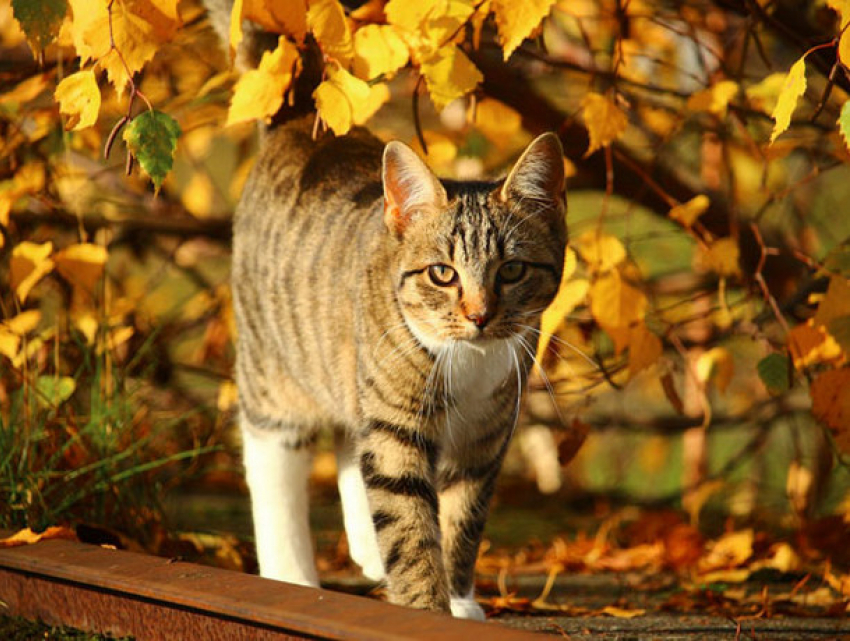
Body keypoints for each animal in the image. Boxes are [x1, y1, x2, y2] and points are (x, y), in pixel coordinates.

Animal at [211, 2, 568, 620]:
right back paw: (291, 573)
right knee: (273, 460)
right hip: (275, 371)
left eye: (512, 271)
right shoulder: (398, 419)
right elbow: (408, 523)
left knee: (353, 444)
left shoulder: (486, 437)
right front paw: (426, 608)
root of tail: (300, 127)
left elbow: (461, 520)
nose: (479, 315)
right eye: (443, 274)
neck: (468, 363)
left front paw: (459, 600)